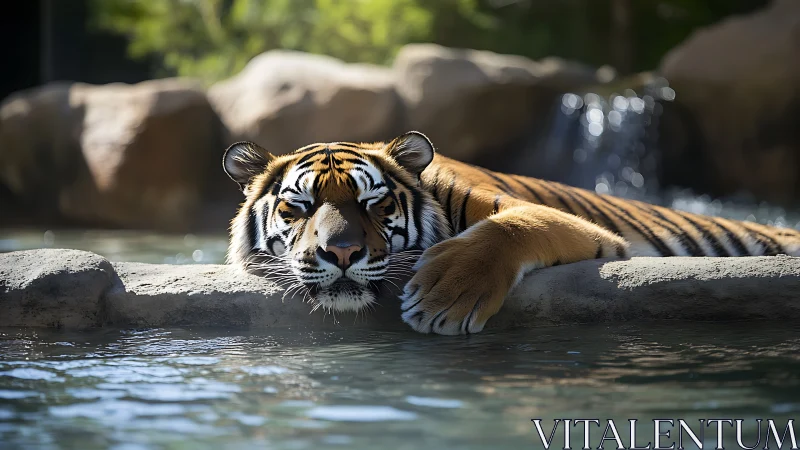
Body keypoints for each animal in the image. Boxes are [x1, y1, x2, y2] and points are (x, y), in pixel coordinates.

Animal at [222, 131, 800, 335]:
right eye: (298, 207)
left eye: (376, 203)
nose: (341, 252)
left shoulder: (550, 218)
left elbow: (510, 227)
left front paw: (444, 297)